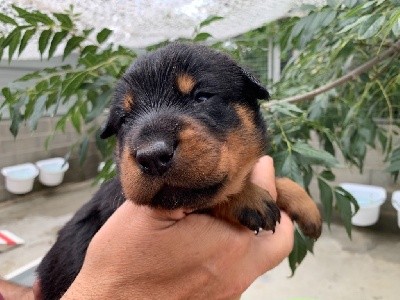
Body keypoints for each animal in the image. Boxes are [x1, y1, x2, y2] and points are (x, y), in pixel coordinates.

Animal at [37, 42, 324, 300]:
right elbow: (211, 196)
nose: (152, 156)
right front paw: (247, 197)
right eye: (125, 119)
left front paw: (305, 205)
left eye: (201, 97)